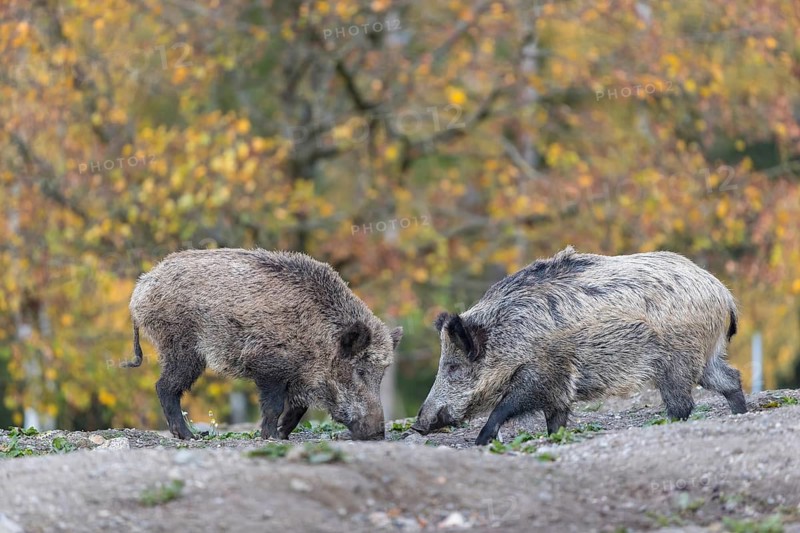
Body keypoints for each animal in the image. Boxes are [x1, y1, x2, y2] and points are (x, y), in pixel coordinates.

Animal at [124, 249, 403, 440]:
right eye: (360, 370)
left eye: (382, 374)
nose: (377, 434)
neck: (318, 338)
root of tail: (140, 287)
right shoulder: (269, 365)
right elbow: (274, 405)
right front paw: (272, 437)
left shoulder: (300, 377)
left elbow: (298, 409)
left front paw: (282, 434)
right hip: (181, 347)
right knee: (164, 387)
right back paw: (190, 436)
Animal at [412, 246, 746, 445]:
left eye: (453, 366)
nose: (418, 425)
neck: (510, 335)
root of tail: (723, 293)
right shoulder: (557, 388)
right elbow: (555, 418)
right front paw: (555, 437)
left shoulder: (543, 372)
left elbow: (505, 406)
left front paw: (481, 441)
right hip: (704, 356)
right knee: (731, 378)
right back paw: (740, 415)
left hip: (676, 360)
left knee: (683, 404)